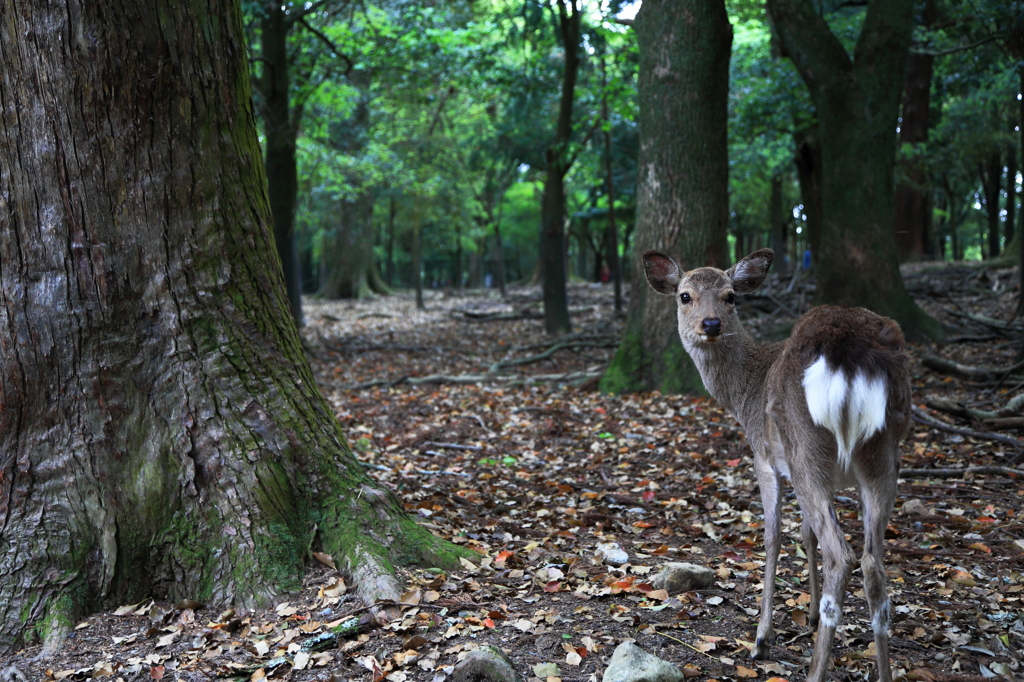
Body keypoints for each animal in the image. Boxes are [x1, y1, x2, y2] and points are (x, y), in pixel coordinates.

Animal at [643, 246, 909, 679]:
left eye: (731, 295)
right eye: (685, 296)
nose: (711, 324)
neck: (743, 395)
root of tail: (849, 353)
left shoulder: (765, 459)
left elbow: (773, 537)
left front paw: (762, 638)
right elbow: (805, 534)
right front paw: (811, 617)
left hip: (805, 444)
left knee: (843, 555)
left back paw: (813, 669)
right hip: (882, 451)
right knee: (873, 564)